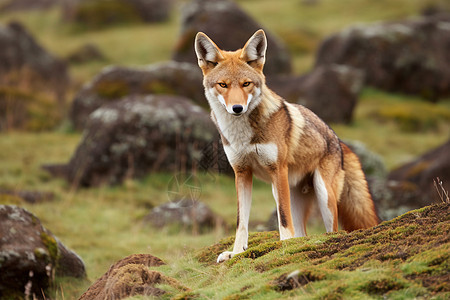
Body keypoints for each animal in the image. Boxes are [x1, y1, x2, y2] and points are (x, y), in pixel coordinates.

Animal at [194, 29, 380, 262]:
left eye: (246, 84)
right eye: (223, 85)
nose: (237, 108)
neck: (243, 135)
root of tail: (338, 141)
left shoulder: (278, 169)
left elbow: (282, 218)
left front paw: (283, 246)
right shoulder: (242, 173)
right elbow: (241, 222)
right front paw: (236, 253)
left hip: (322, 194)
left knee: (331, 230)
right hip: (288, 193)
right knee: (302, 233)